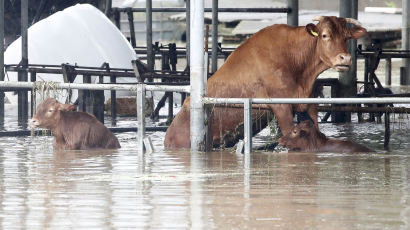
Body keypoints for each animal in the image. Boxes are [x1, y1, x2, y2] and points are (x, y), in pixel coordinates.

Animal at [165, 16, 366, 149]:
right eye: (324, 35)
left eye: (347, 37)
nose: (345, 58)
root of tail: (169, 134)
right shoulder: (281, 106)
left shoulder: (309, 104)